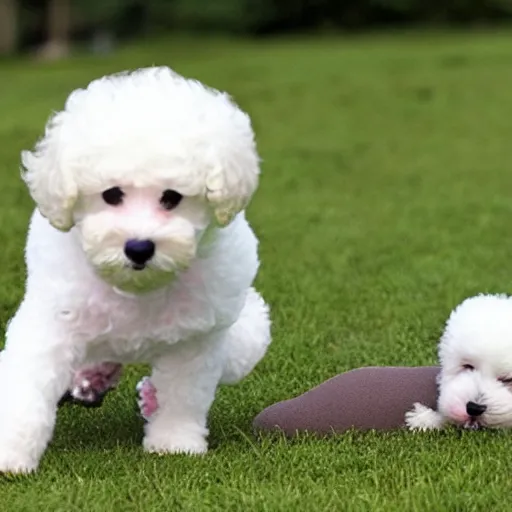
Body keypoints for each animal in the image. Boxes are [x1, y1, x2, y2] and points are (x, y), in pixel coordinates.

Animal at [0, 66, 272, 474]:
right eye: (112, 194)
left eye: (172, 198)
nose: (139, 247)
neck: (136, 286)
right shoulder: (51, 325)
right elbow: (25, 390)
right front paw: (10, 452)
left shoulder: (195, 341)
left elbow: (184, 395)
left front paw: (174, 442)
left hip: (244, 333)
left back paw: (145, 396)